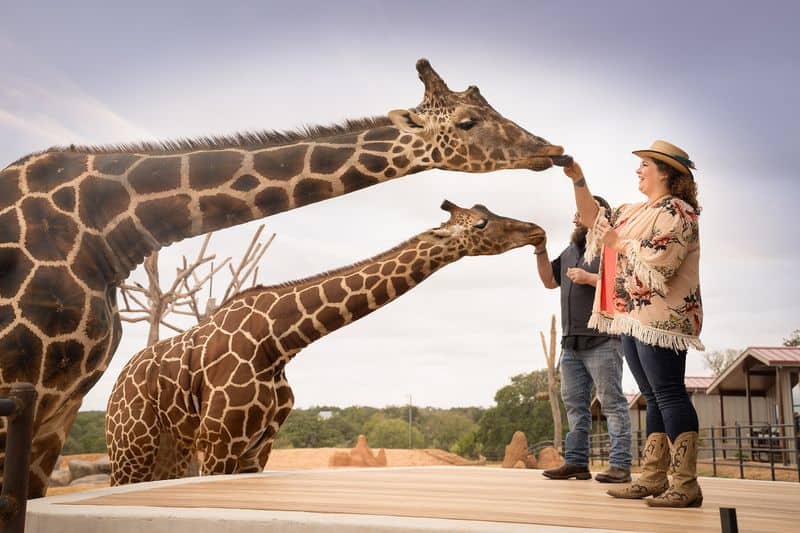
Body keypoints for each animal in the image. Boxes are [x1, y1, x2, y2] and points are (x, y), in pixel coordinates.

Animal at [105, 200, 546, 484]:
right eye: (481, 224)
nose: (536, 230)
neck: (278, 342)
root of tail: (118, 382)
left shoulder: (257, 448)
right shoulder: (218, 442)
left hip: (170, 449)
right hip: (130, 448)